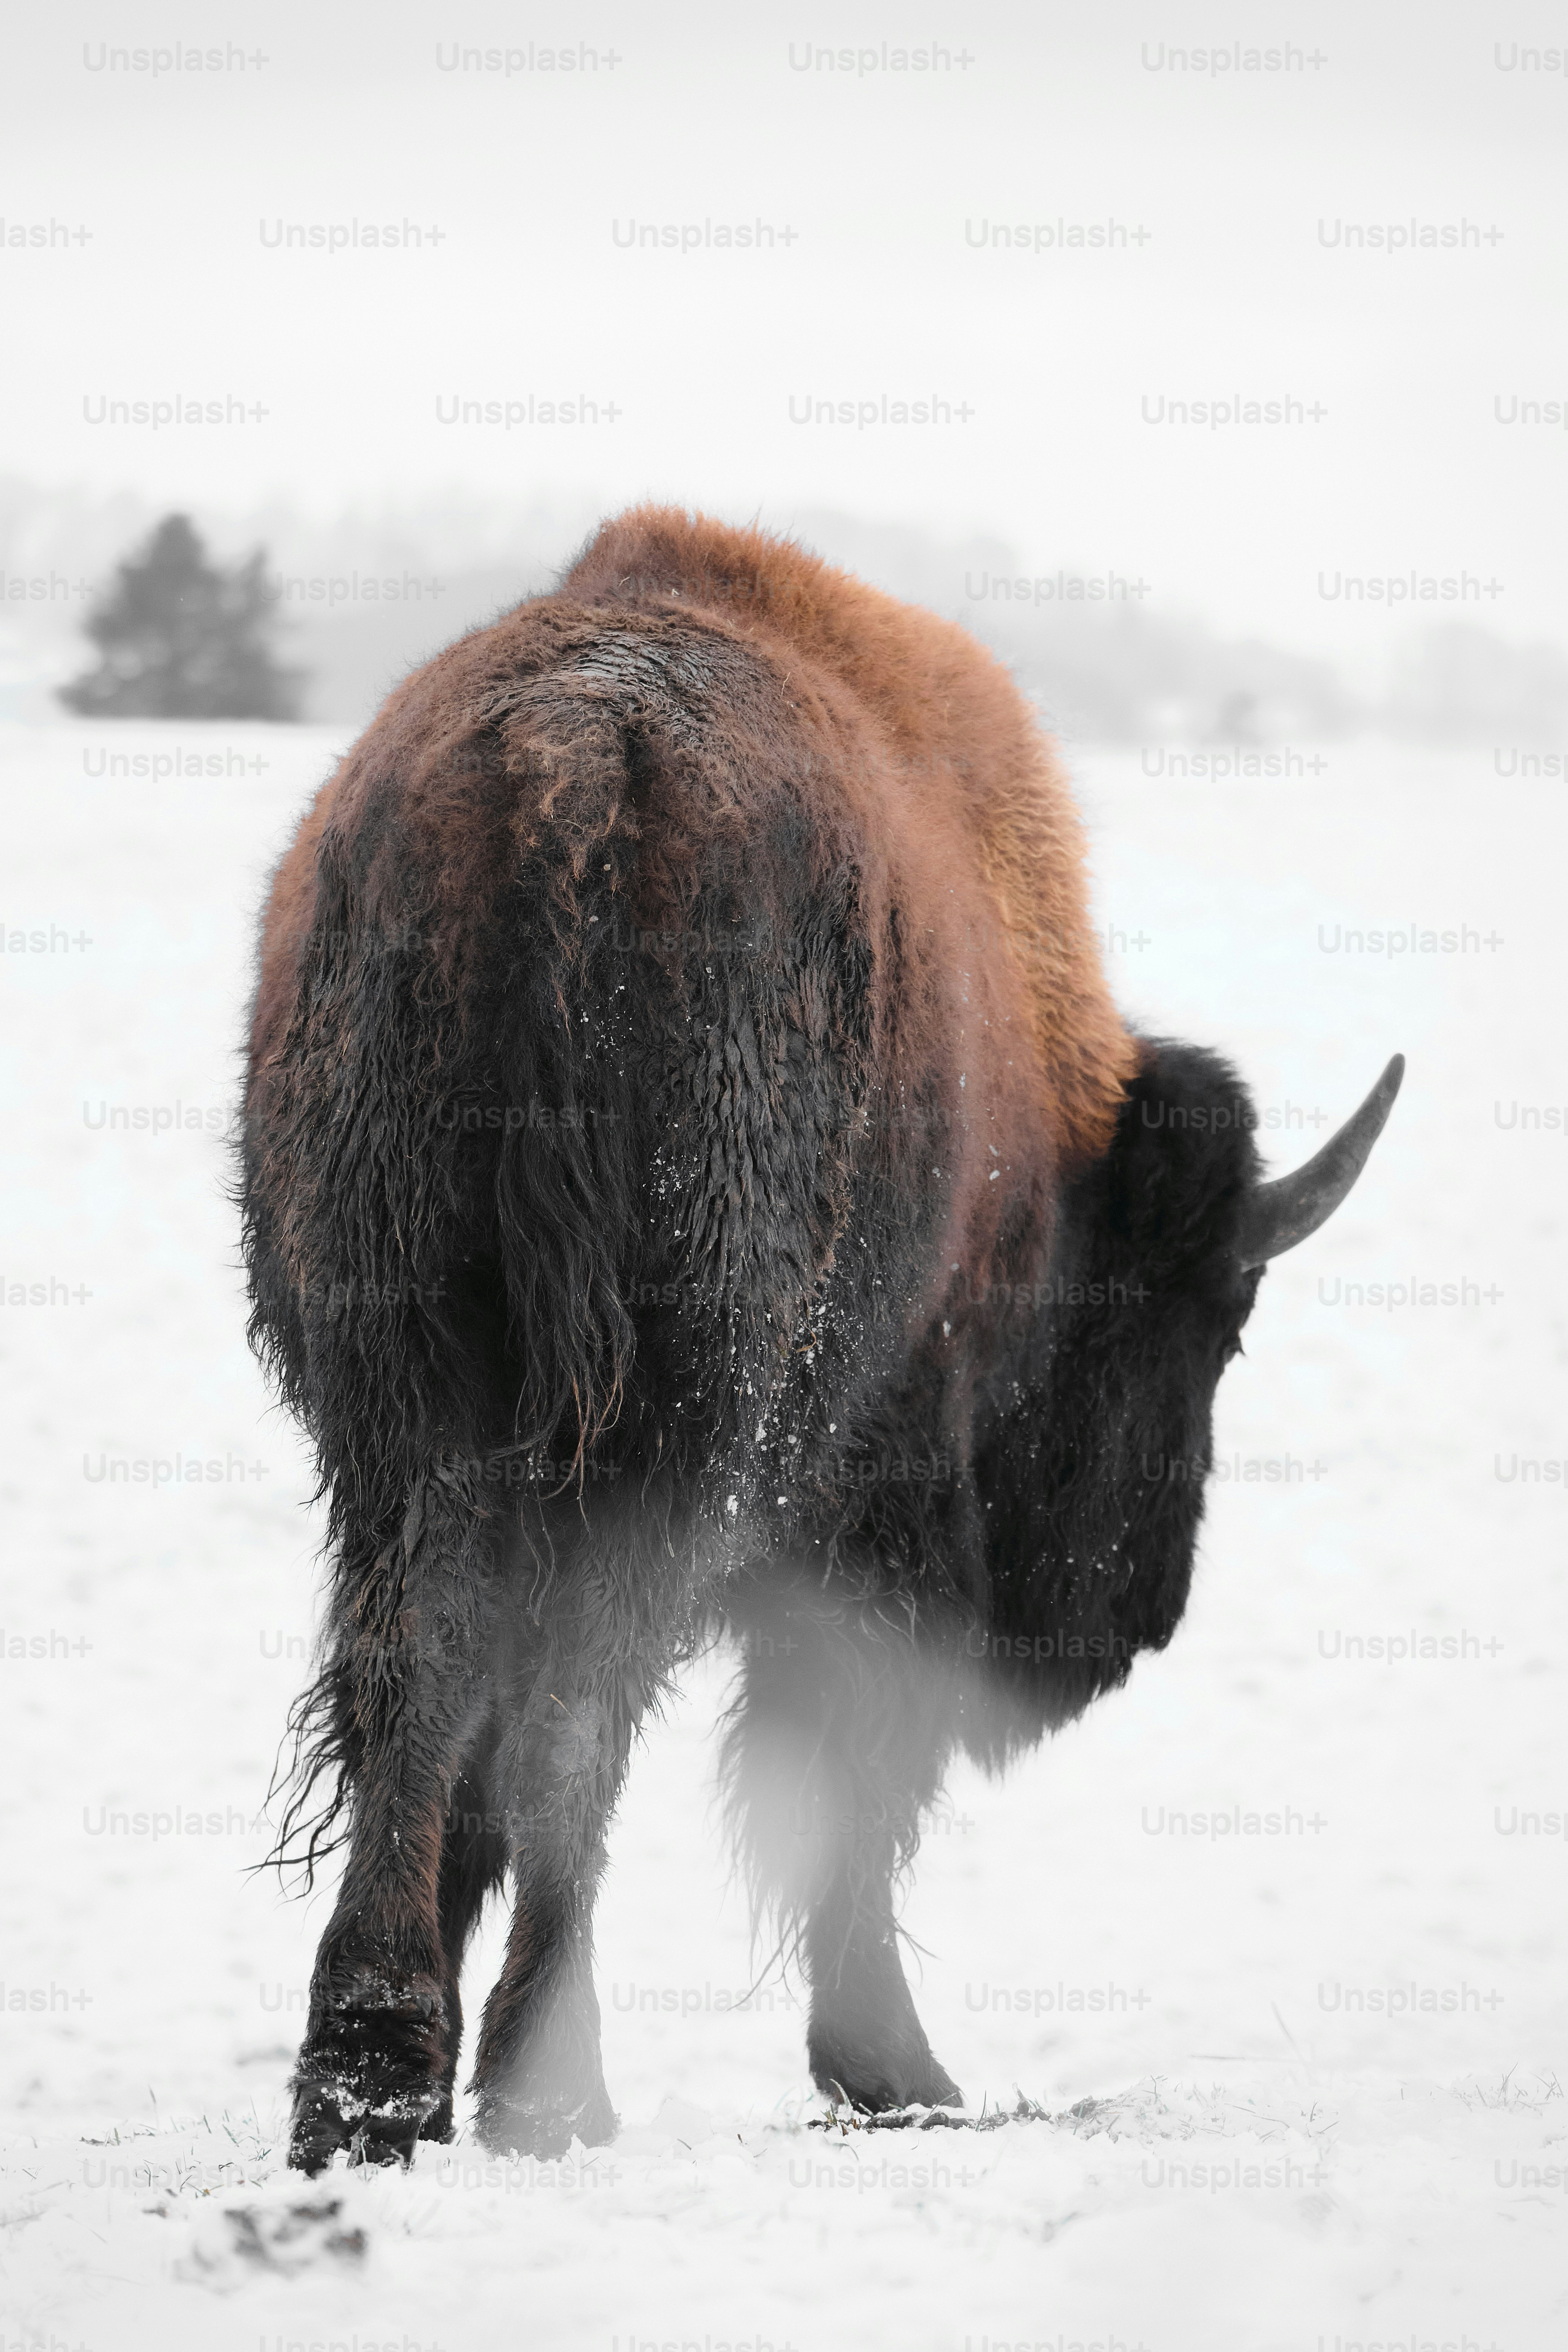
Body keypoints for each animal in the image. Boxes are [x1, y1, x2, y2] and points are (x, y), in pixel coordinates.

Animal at [238, 506, 1401, 2171]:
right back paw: (552, 2095)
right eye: (1210, 1325)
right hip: (678, 1421)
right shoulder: (884, 1515)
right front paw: (896, 2074)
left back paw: (372, 2078)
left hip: (406, 1392)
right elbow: (846, 1790)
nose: (1138, 1613)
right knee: (576, 1717)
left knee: (421, 1677)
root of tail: (572, 759)